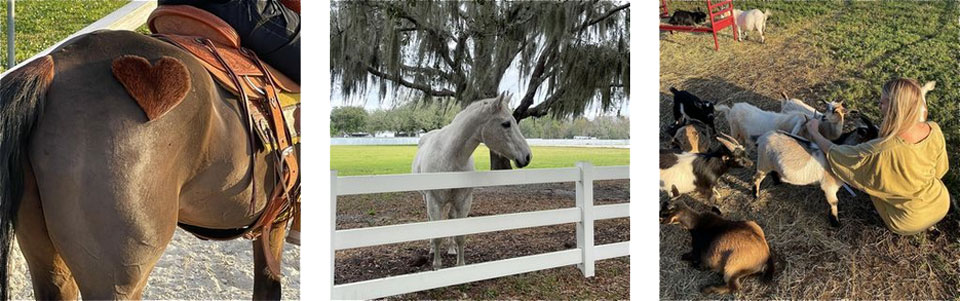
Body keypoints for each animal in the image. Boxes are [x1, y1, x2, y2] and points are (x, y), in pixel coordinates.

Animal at [410, 91, 532, 268]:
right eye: (506, 124)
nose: (527, 156)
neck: (451, 155)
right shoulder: (434, 200)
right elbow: (437, 233)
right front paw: (437, 265)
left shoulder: (464, 201)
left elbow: (461, 235)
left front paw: (460, 264)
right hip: (426, 198)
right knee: (430, 220)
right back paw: (432, 249)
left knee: (451, 218)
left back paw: (451, 249)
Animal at [752, 114, 880, 225]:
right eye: (874, 137)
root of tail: (763, 137)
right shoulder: (829, 186)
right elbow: (834, 202)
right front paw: (835, 222)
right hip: (764, 162)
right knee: (757, 177)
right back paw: (756, 195)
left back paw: (778, 182)